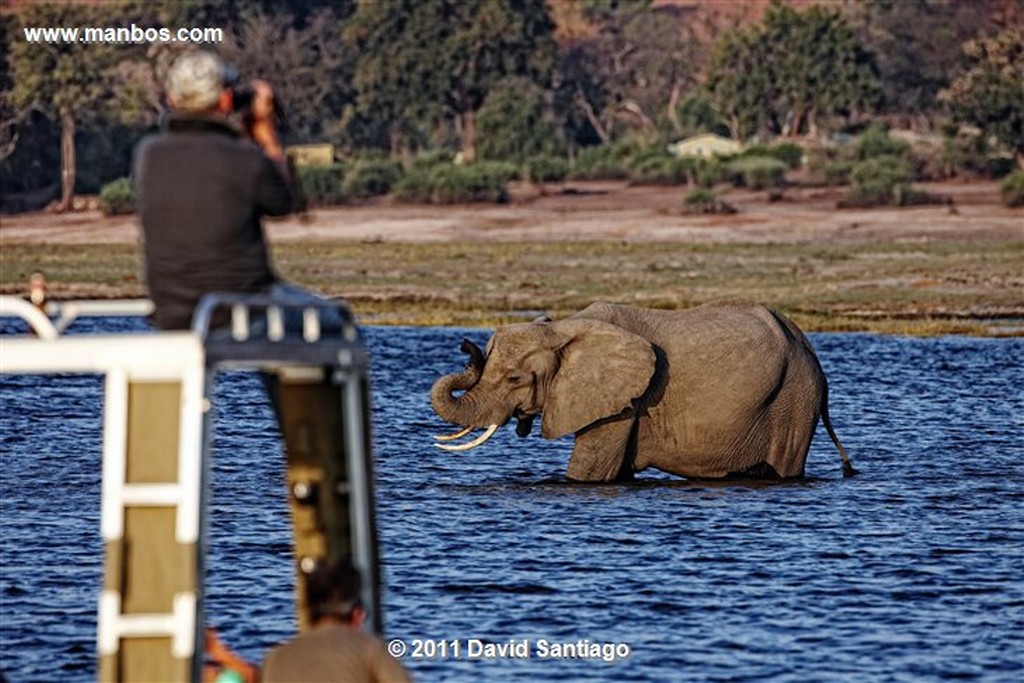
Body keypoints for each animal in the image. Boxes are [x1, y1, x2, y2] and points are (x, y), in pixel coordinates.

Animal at [428, 301, 851, 483]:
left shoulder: (623, 402)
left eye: (514, 379)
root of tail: (808, 348)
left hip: (793, 400)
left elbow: (589, 472)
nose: (467, 345)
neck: (563, 327)